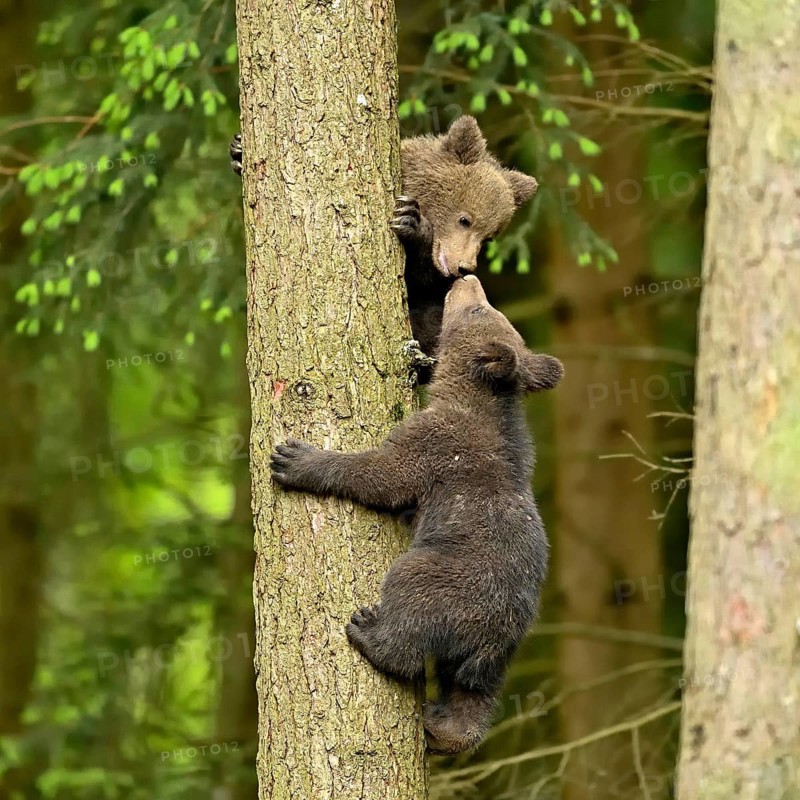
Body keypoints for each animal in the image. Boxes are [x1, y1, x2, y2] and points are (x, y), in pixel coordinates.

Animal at [229, 116, 538, 374]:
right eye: (465, 220)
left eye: (489, 237)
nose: (465, 266)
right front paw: (238, 150)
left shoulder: (435, 284)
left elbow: (421, 281)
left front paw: (411, 222)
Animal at [269, 275, 562, 754]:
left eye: (481, 310)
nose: (469, 278)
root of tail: (496, 636)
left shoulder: (433, 443)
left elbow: (383, 474)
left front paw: (296, 459)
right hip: (497, 658)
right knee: (471, 699)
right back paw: (442, 725)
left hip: (445, 581)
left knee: (410, 605)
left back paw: (369, 632)